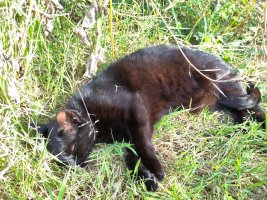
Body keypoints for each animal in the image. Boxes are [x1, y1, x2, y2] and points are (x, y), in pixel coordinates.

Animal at [34, 45, 266, 191]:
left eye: (71, 152)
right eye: (62, 161)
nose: (75, 167)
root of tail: (225, 64)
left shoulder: (136, 112)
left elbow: (142, 144)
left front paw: (155, 170)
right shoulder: (126, 136)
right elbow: (131, 157)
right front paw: (147, 180)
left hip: (226, 89)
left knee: (256, 109)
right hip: (221, 102)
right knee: (243, 113)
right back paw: (242, 128)